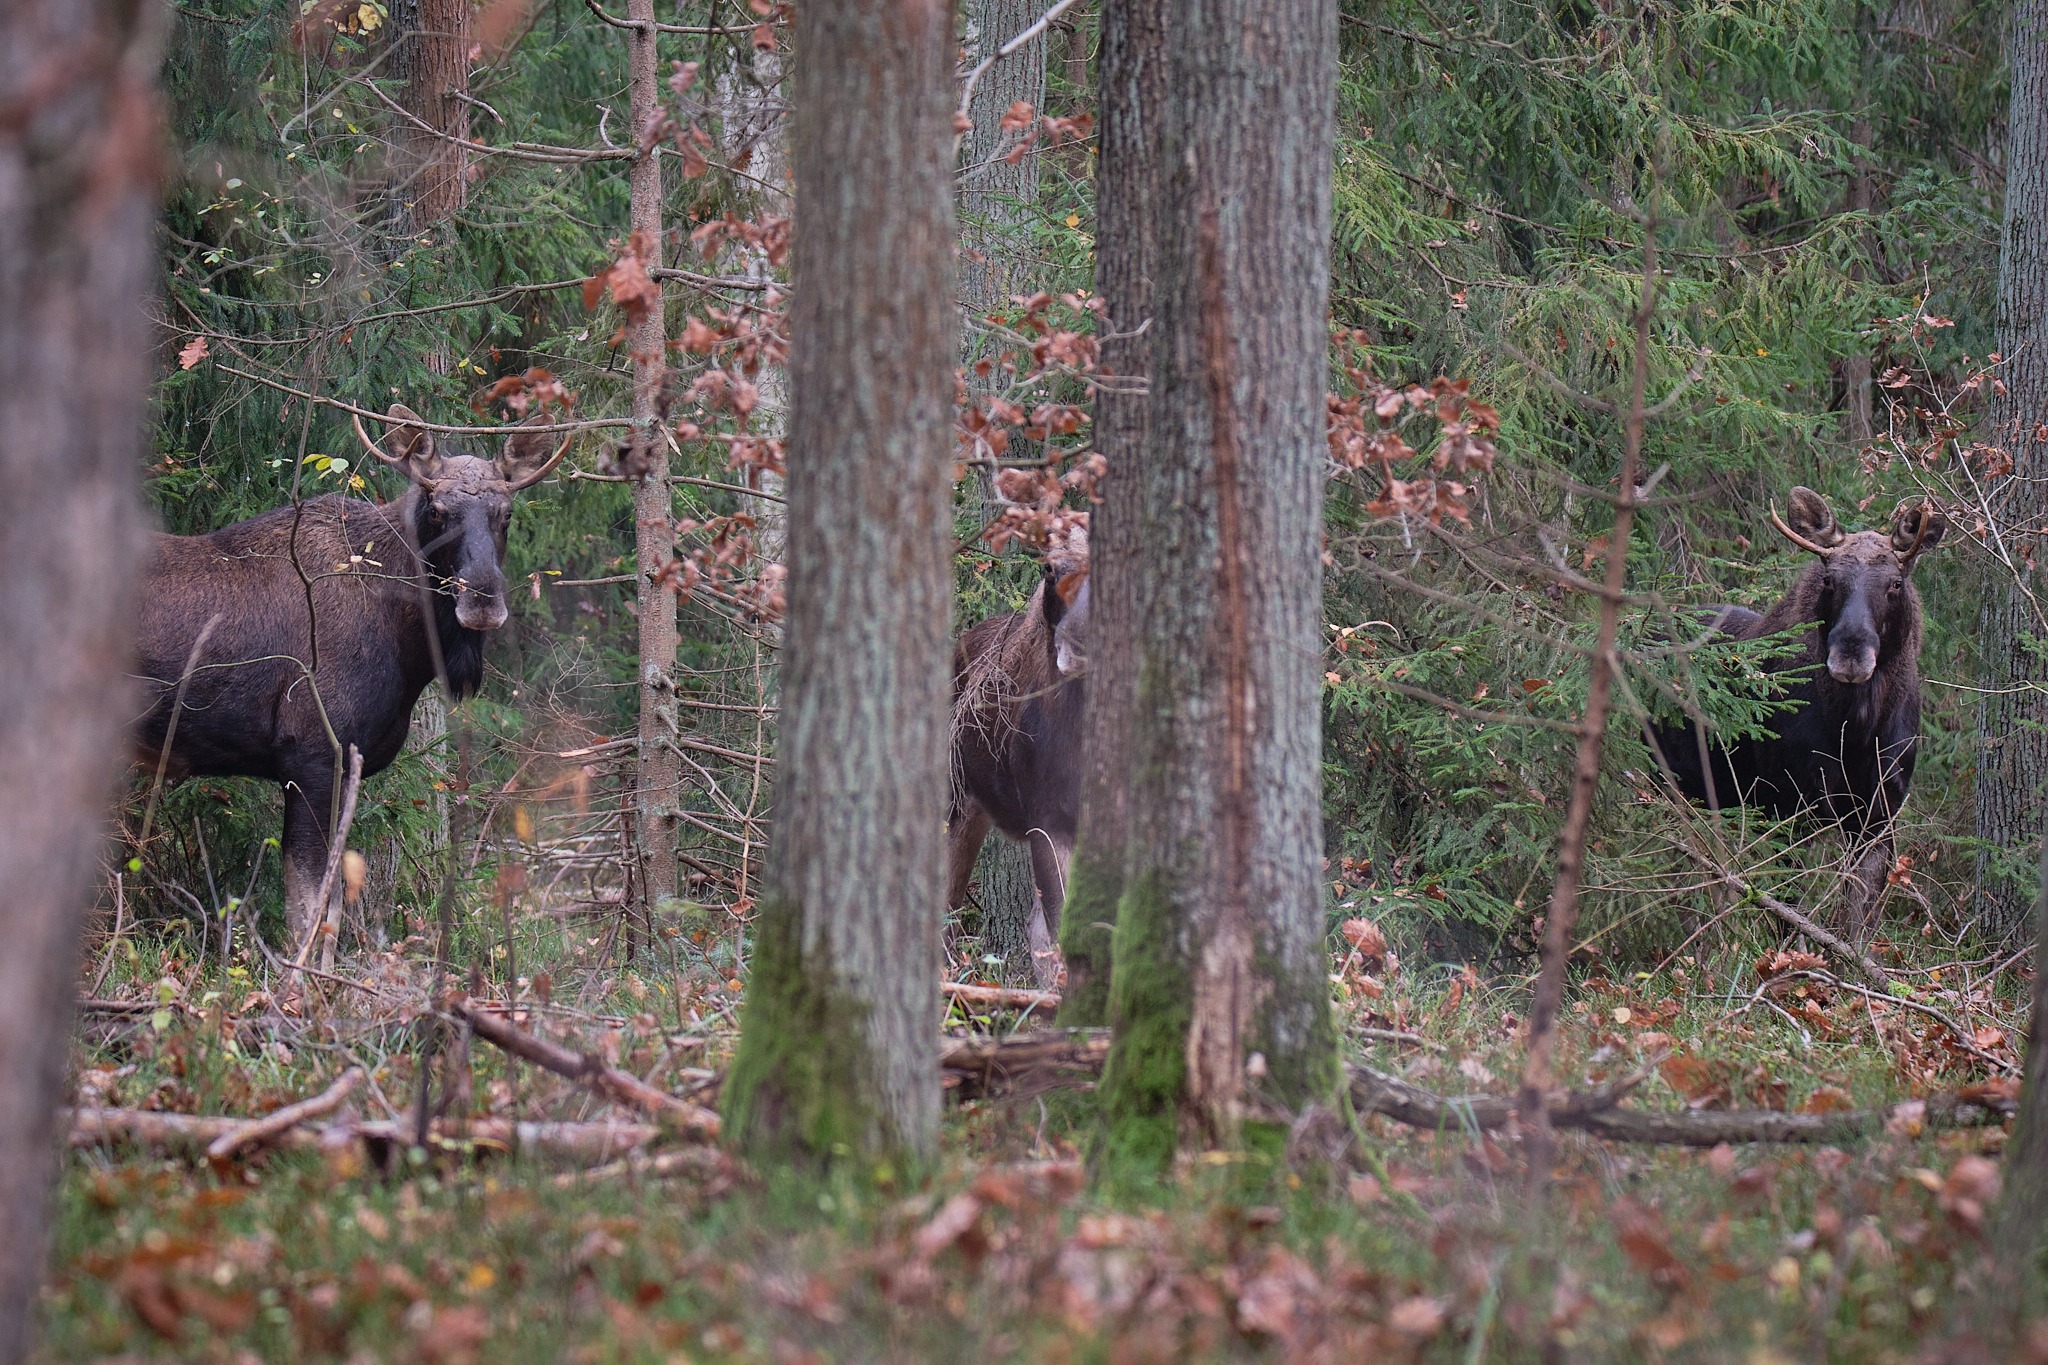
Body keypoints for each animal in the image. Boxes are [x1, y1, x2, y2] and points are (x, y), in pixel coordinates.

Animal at [134, 401, 569, 945]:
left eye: (506, 514)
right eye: (436, 510)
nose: (483, 599)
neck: (408, 646)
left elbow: (333, 906)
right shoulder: (314, 757)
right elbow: (309, 911)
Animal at [1646, 485, 1949, 945]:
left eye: (1896, 583)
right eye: (1829, 580)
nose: (1850, 654)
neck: (1857, 729)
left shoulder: (1881, 812)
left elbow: (1858, 921)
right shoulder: (1788, 804)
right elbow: (1790, 912)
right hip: (1661, 778)